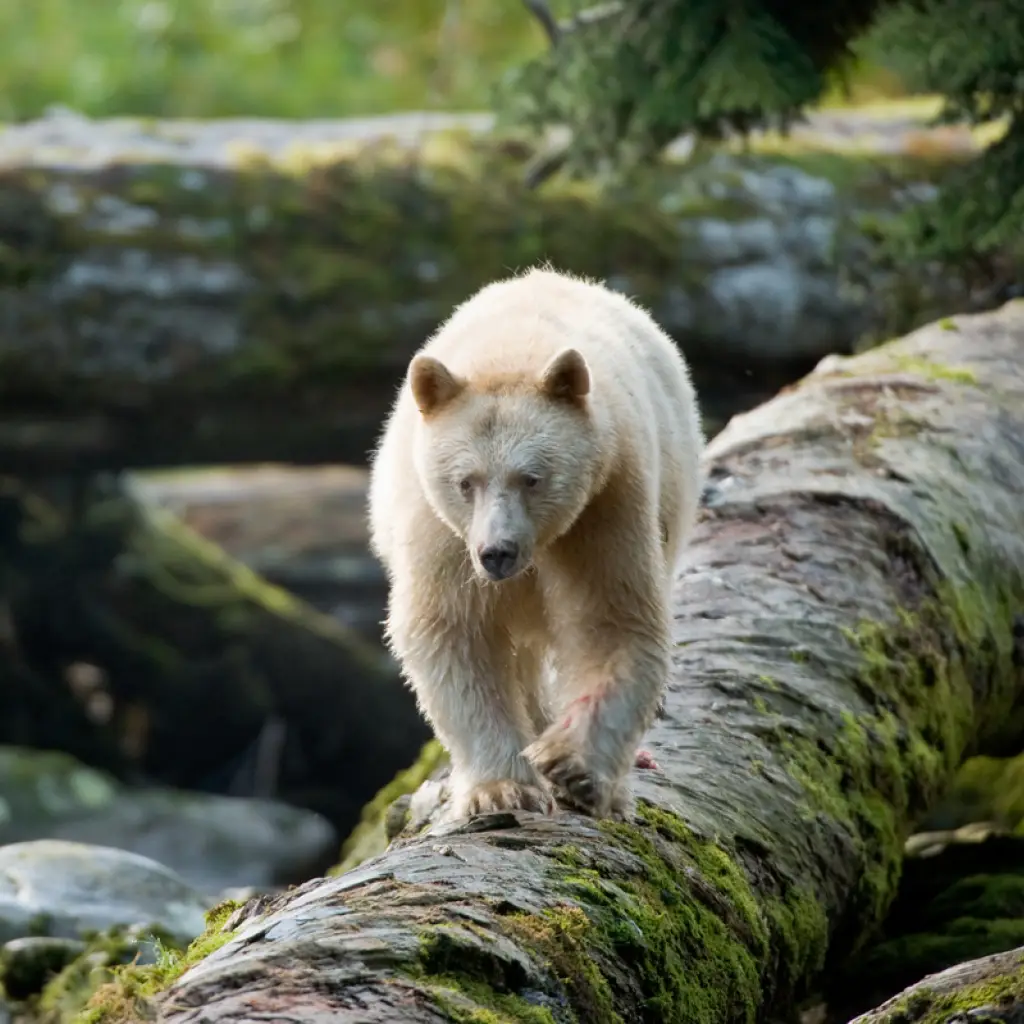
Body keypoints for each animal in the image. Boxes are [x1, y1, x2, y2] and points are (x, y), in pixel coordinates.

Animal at [367, 267, 704, 821]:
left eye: (532, 478)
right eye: (466, 482)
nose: (496, 553)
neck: (511, 352)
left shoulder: (605, 505)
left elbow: (612, 618)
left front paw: (572, 767)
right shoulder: (441, 532)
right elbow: (452, 629)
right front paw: (503, 788)